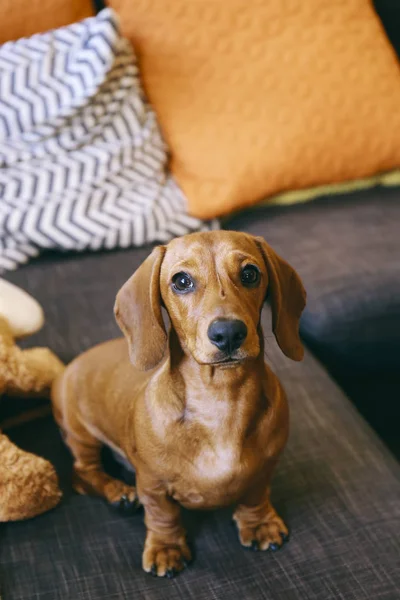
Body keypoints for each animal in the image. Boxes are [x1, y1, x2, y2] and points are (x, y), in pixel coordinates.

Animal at [50, 230, 306, 576]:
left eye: (250, 274)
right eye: (182, 281)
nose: (228, 333)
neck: (219, 398)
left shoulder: (265, 469)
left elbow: (254, 496)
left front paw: (259, 524)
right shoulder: (153, 486)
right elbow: (162, 515)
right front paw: (166, 548)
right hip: (81, 434)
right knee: (81, 475)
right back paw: (118, 493)